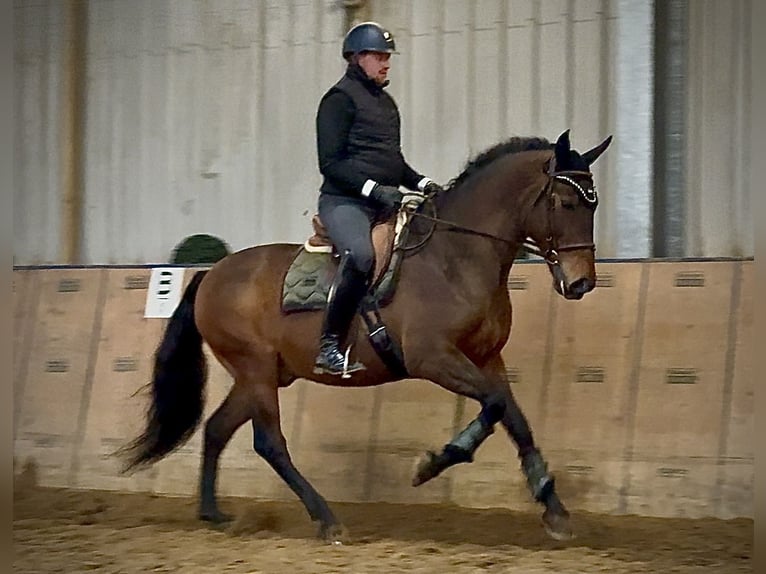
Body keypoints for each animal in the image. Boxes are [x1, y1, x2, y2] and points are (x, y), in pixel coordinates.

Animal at [121, 129, 612, 543]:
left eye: (593, 205)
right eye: (565, 204)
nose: (581, 283)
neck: (456, 257)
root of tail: (212, 273)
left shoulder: (488, 358)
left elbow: (516, 420)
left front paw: (554, 510)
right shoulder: (432, 358)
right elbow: (492, 406)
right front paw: (432, 464)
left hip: (262, 374)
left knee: (217, 429)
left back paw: (214, 514)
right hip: (255, 369)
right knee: (270, 444)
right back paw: (327, 520)